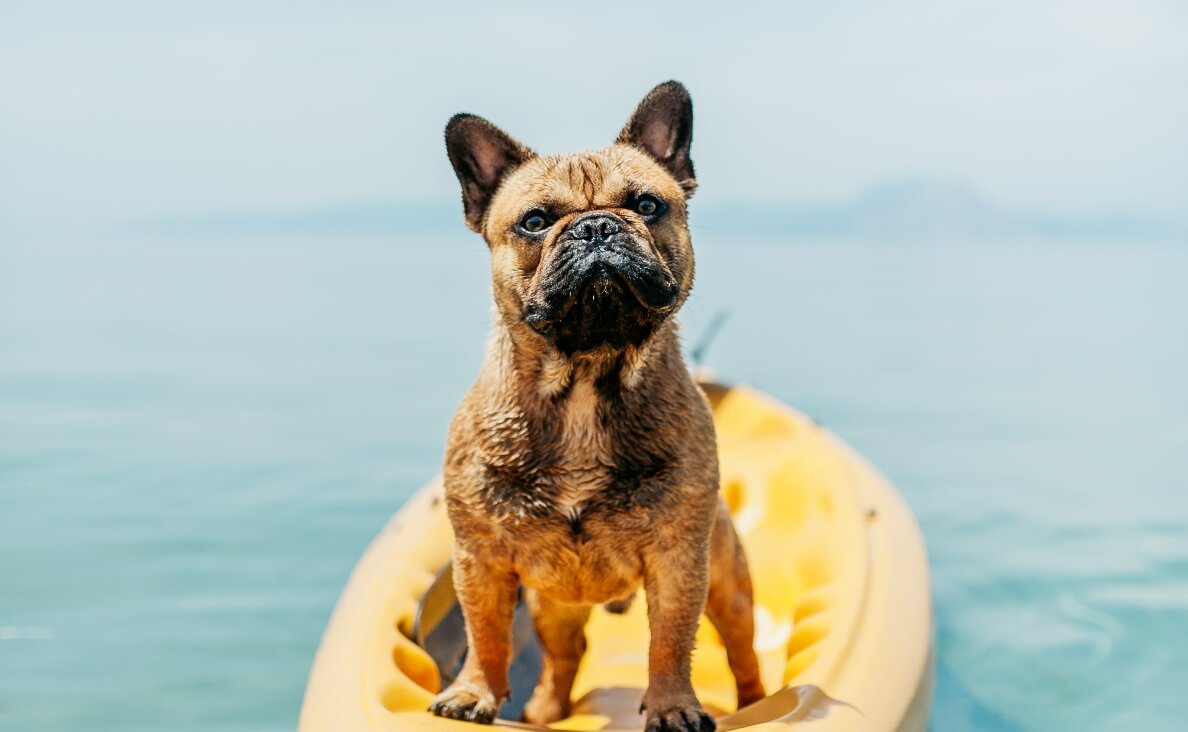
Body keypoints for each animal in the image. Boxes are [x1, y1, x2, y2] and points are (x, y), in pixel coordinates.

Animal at [427, 81, 760, 732]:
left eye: (648, 206)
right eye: (534, 222)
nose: (597, 228)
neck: (585, 376)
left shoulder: (678, 561)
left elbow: (669, 641)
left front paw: (673, 706)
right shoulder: (480, 558)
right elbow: (486, 634)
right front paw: (474, 692)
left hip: (728, 584)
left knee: (742, 652)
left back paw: (759, 704)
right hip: (552, 605)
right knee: (564, 658)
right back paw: (543, 710)